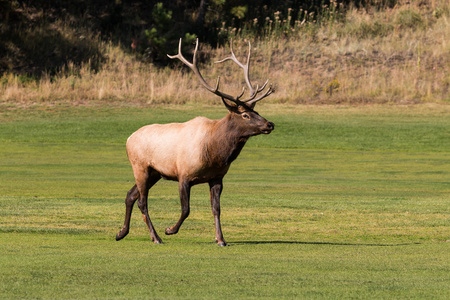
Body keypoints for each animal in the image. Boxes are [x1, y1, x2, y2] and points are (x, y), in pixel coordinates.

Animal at [116, 38, 274, 246]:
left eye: (257, 111)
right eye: (245, 115)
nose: (270, 124)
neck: (215, 152)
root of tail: (128, 139)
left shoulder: (217, 177)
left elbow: (216, 208)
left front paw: (221, 239)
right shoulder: (184, 174)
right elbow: (186, 209)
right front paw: (170, 230)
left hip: (155, 172)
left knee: (130, 195)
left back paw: (122, 232)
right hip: (140, 166)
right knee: (142, 201)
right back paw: (156, 237)